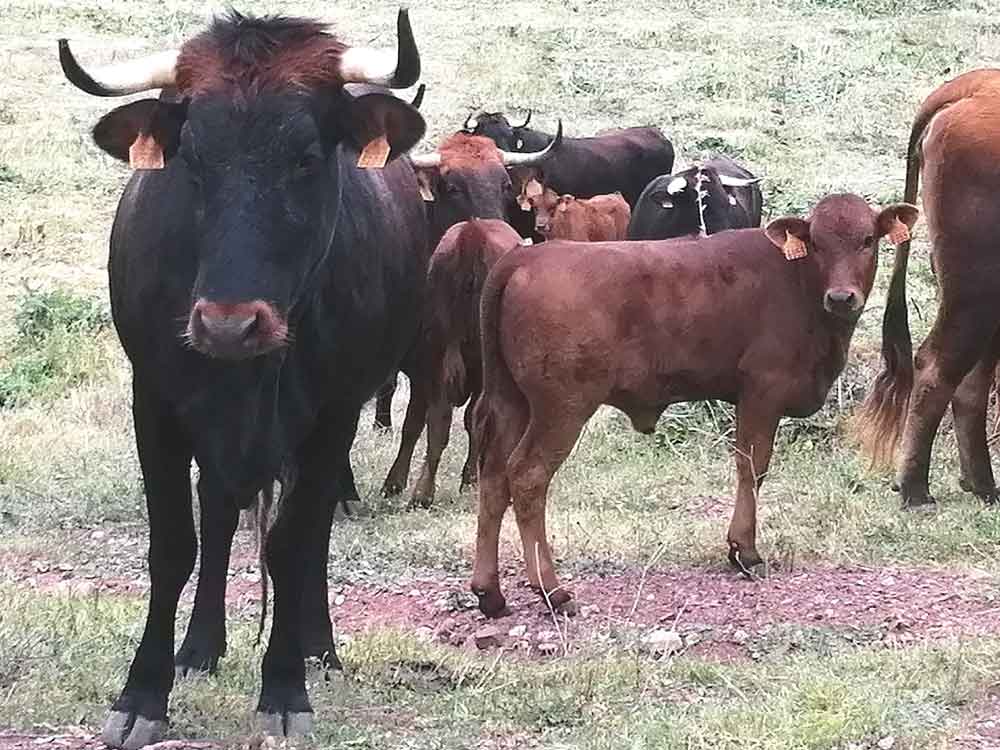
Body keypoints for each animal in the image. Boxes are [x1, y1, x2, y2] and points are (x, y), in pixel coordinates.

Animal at [60, 8, 428, 746]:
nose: (229, 326)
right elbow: (175, 543)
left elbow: (292, 545)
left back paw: (318, 647)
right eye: (192, 158)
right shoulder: (156, 400)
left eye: (307, 157)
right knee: (221, 514)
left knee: (308, 538)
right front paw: (143, 694)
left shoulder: (332, 413)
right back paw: (199, 646)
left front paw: (284, 688)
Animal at [469, 194, 919, 618]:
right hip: (561, 407)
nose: (841, 297)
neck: (799, 282)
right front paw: (745, 551)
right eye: (818, 243)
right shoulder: (763, 390)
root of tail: (527, 256)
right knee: (527, 477)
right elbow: (752, 465)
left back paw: (489, 592)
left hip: (512, 402)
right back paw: (552, 590)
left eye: (867, 240)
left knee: (493, 477)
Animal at [856, 69, 1000, 508]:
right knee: (937, 368)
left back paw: (982, 485)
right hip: (976, 286)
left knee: (970, 381)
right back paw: (915, 489)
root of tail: (974, 85)